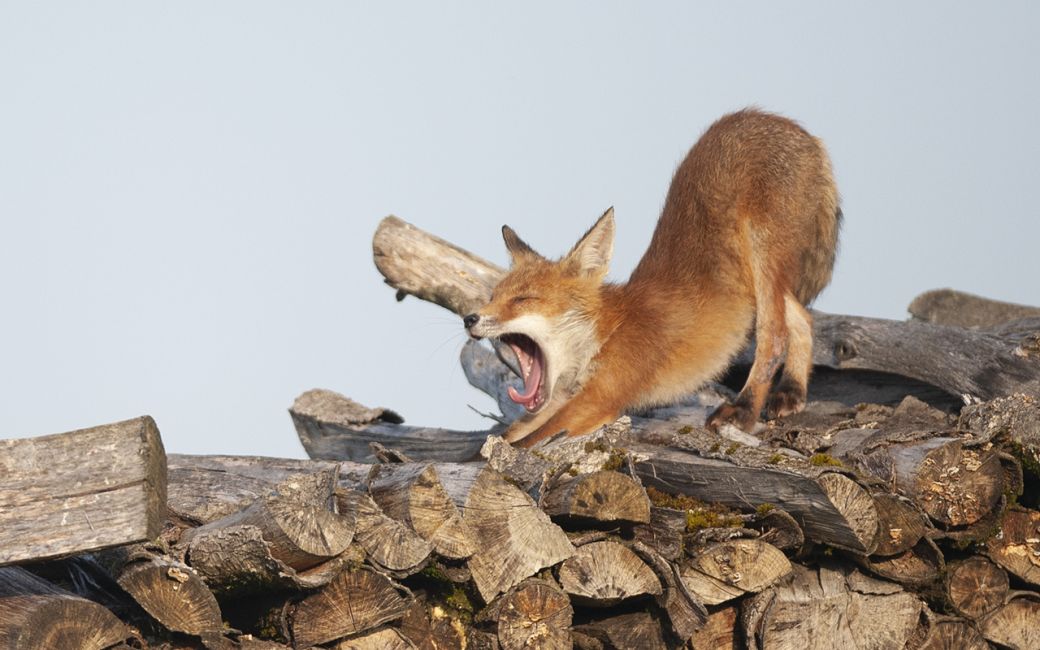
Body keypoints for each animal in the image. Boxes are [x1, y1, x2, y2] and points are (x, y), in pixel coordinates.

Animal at [467, 110, 840, 445]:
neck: (606, 334)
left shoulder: (601, 397)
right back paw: (792, 391)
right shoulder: (561, 396)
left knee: (774, 335)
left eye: (524, 299)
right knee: (803, 319)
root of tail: (795, 128)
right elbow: (511, 433)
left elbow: (524, 443)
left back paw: (745, 409)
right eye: (493, 297)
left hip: (762, 256)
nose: (470, 318)